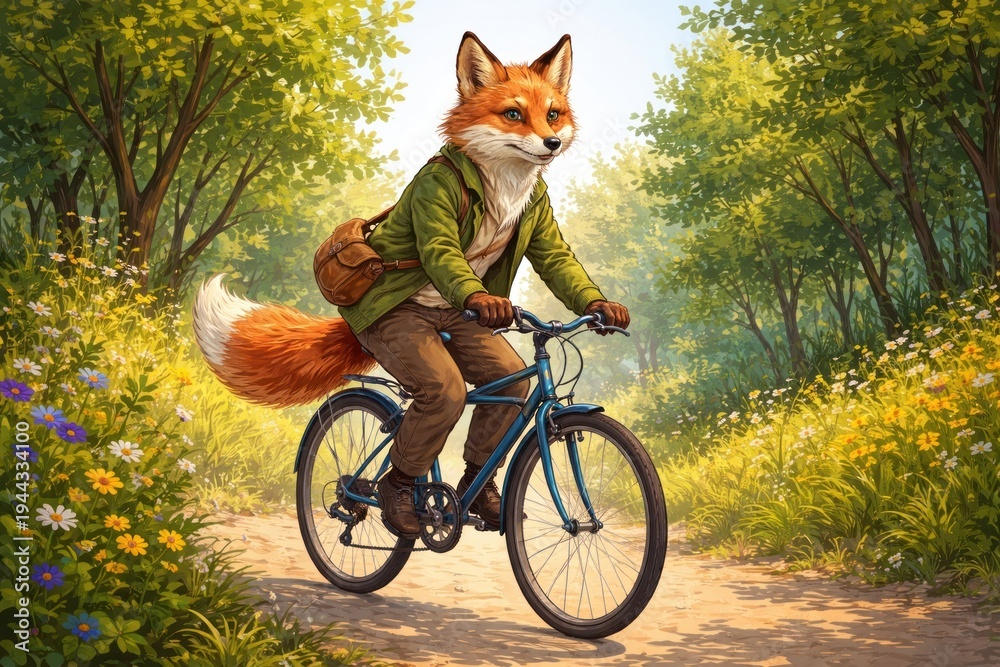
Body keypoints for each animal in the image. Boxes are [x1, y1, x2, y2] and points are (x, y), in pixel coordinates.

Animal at [193, 32, 577, 407]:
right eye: (513, 114)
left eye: (552, 114)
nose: (552, 142)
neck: (502, 188)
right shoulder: (435, 188)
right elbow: (441, 248)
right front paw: (488, 303)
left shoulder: (540, 209)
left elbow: (557, 258)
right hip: (401, 342)